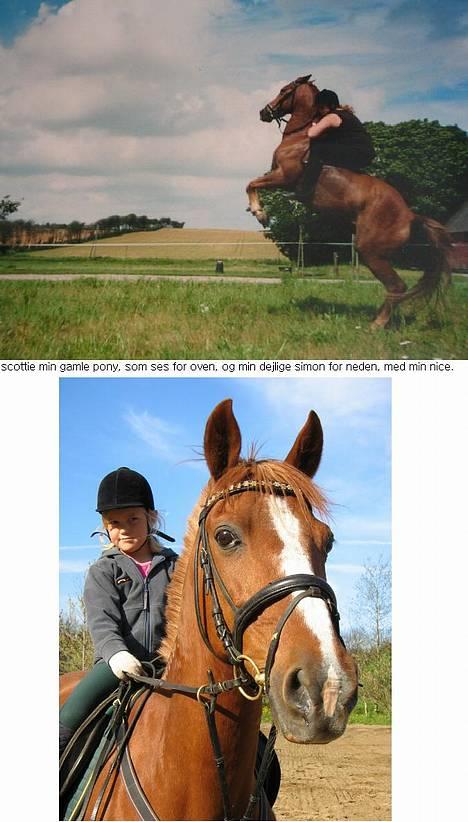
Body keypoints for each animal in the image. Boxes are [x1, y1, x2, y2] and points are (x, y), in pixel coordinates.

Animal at [246, 75, 452, 328]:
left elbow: (251, 184)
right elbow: (252, 184)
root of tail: (411, 215)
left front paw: (260, 213)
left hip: (370, 251)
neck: (300, 137)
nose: (263, 112)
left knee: (397, 286)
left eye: (284, 90)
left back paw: (376, 325)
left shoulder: (285, 177)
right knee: (396, 288)